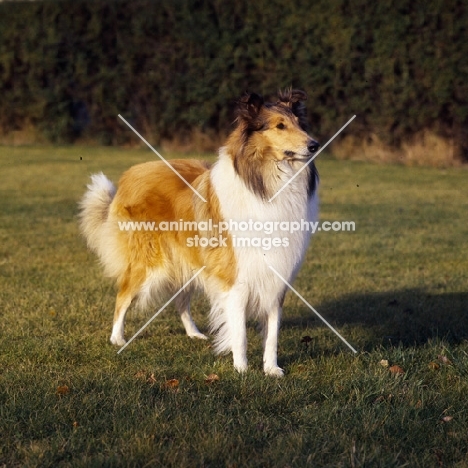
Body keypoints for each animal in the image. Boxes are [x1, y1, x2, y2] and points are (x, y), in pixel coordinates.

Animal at [80, 89, 320, 378]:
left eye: (299, 123)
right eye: (280, 126)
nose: (315, 145)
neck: (266, 184)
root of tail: (131, 174)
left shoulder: (275, 274)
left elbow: (272, 333)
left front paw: (272, 369)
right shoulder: (236, 277)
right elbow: (239, 332)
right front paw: (242, 369)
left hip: (188, 261)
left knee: (180, 301)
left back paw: (194, 334)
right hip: (150, 263)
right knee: (123, 295)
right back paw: (117, 339)